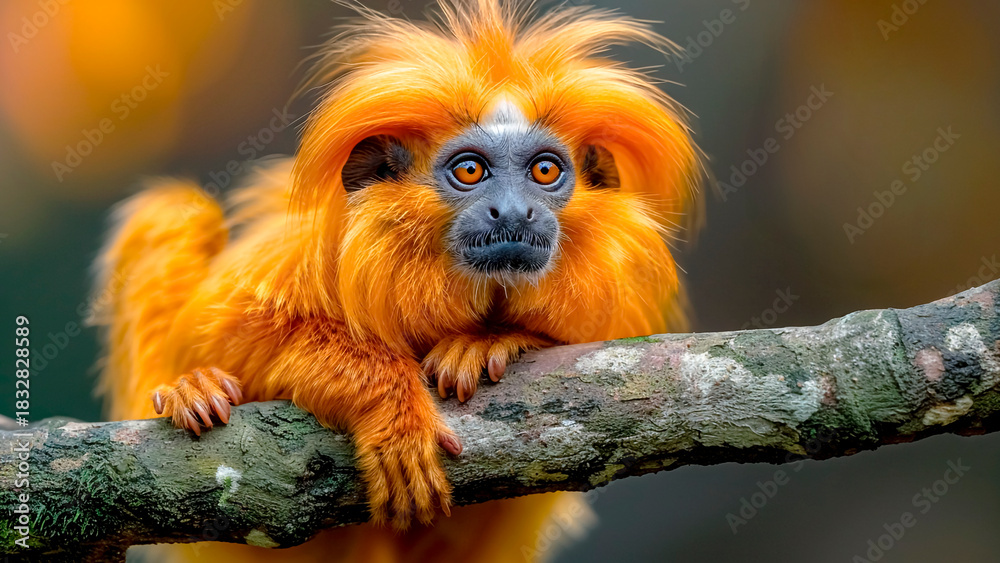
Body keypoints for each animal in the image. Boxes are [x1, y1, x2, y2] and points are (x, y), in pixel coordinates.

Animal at [90, 0, 704, 560]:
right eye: (470, 170)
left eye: (545, 170)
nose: (514, 212)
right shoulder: (302, 262)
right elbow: (231, 331)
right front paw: (392, 408)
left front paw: (488, 342)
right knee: (177, 213)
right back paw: (191, 391)